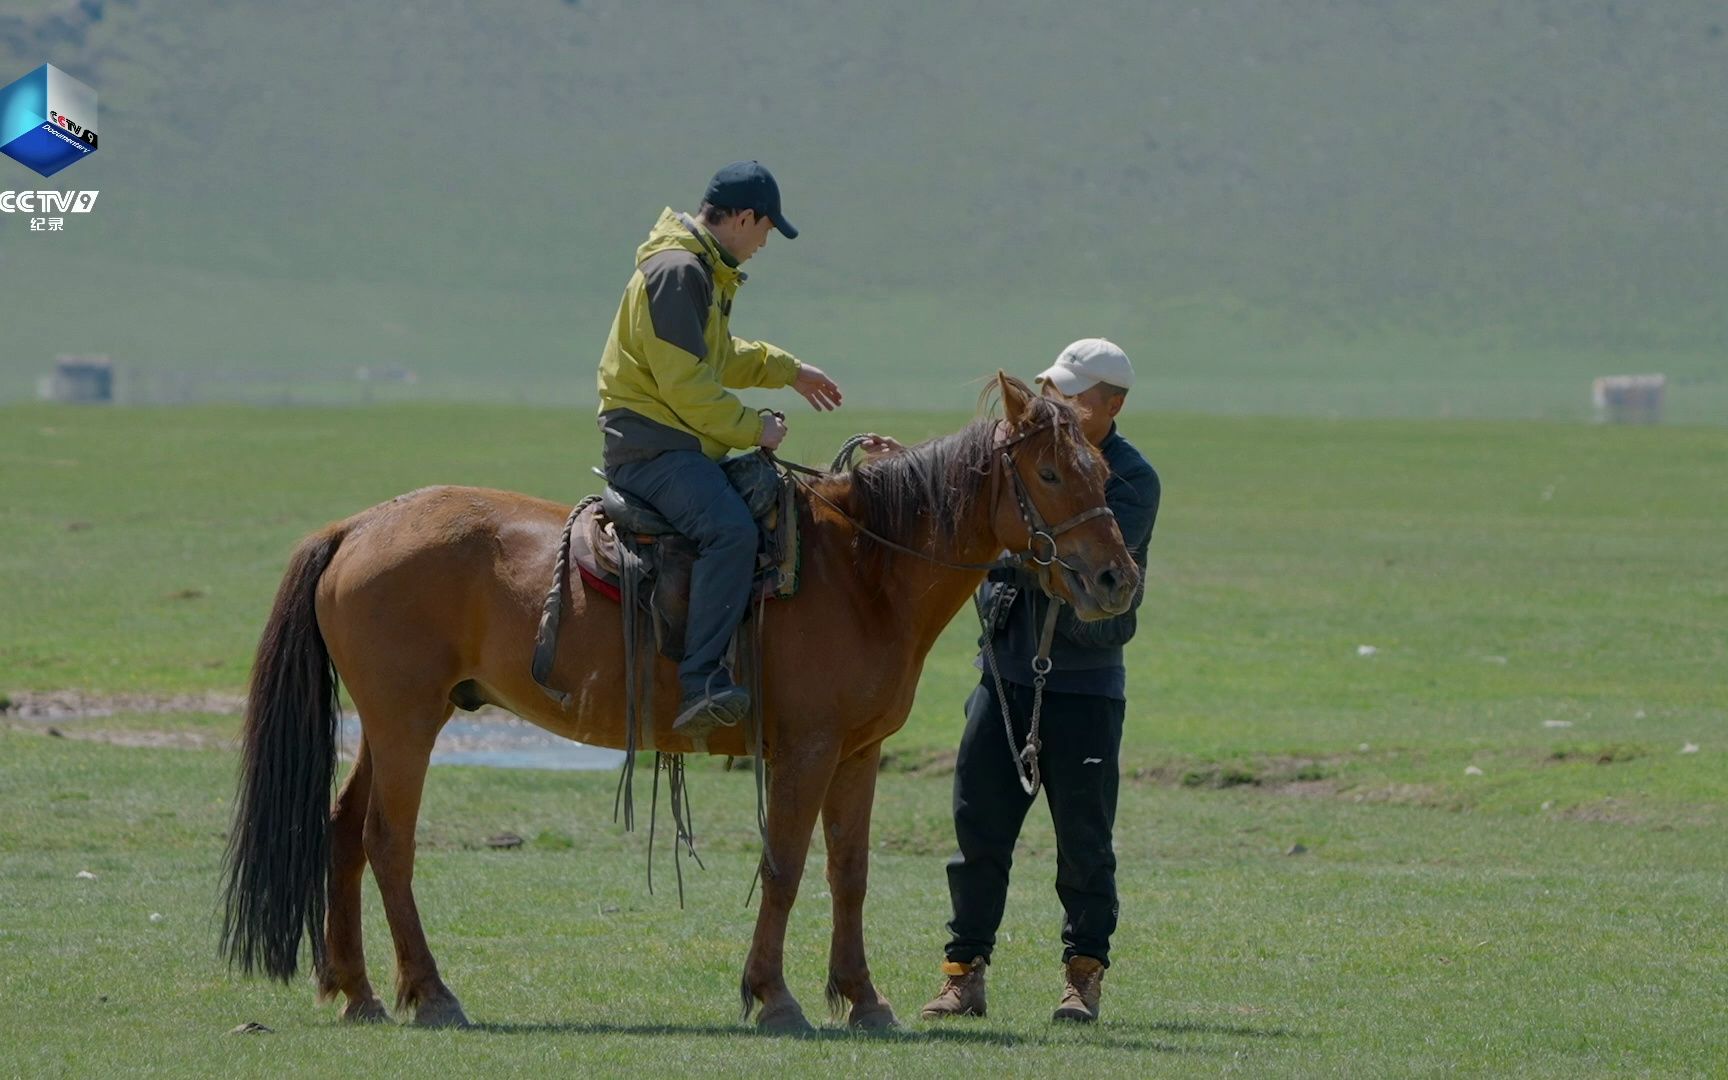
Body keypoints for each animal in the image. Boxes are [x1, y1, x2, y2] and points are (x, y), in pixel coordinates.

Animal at [219, 374, 1133, 1029]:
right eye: (1051, 471)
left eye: (1103, 470)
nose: (1115, 579)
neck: (863, 570)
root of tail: (356, 527)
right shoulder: (805, 749)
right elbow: (784, 865)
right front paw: (775, 997)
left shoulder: (857, 752)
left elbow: (849, 872)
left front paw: (863, 999)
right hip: (407, 720)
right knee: (387, 840)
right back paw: (431, 993)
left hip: (393, 722)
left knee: (342, 831)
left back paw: (358, 992)